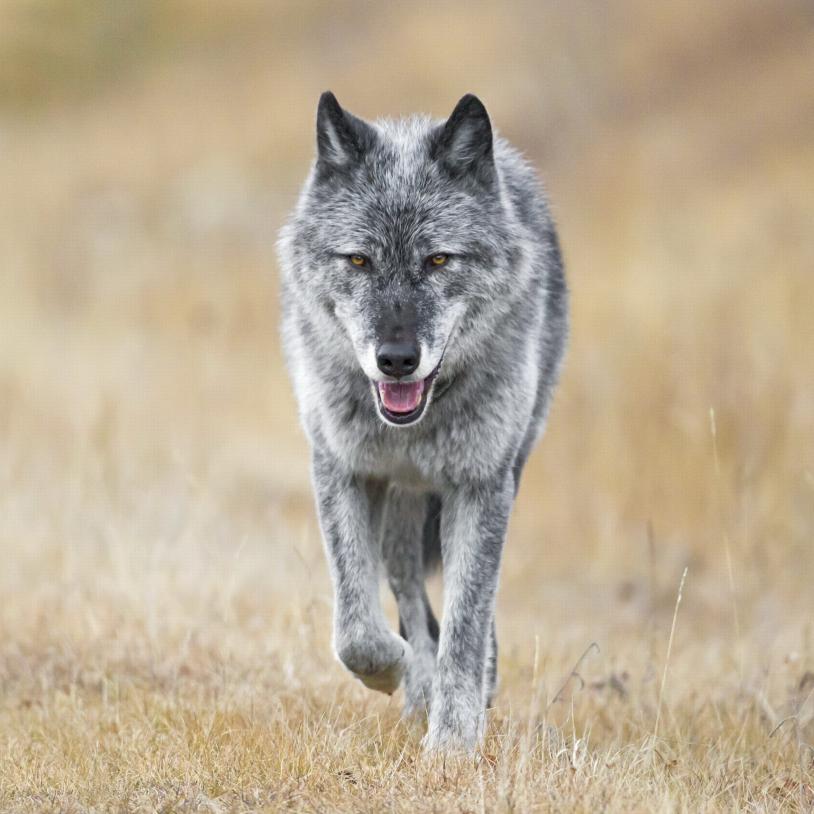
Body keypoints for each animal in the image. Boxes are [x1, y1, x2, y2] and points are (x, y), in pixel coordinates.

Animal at [277, 91, 568, 752]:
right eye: (359, 259)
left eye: (437, 260)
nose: (396, 358)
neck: (414, 425)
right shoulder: (342, 471)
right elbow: (355, 627)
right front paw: (395, 671)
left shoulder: (481, 486)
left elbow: (466, 621)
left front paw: (454, 742)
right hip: (400, 509)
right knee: (406, 590)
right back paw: (415, 685)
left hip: (500, 475)